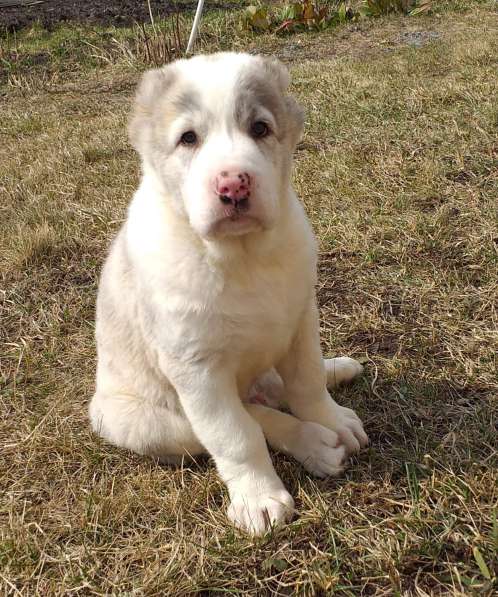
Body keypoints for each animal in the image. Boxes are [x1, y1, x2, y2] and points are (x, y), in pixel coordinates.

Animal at [89, 53, 368, 532]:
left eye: (259, 128)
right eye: (188, 139)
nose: (233, 184)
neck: (243, 257)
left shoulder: (301, 321)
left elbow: (307, 382)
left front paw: (329, 416)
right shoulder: (197, 369)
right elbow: (235, 435)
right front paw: (259, 497)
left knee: (276, 390)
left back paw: (336, 379)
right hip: (145, 421)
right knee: (247, 417)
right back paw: (313, 444)